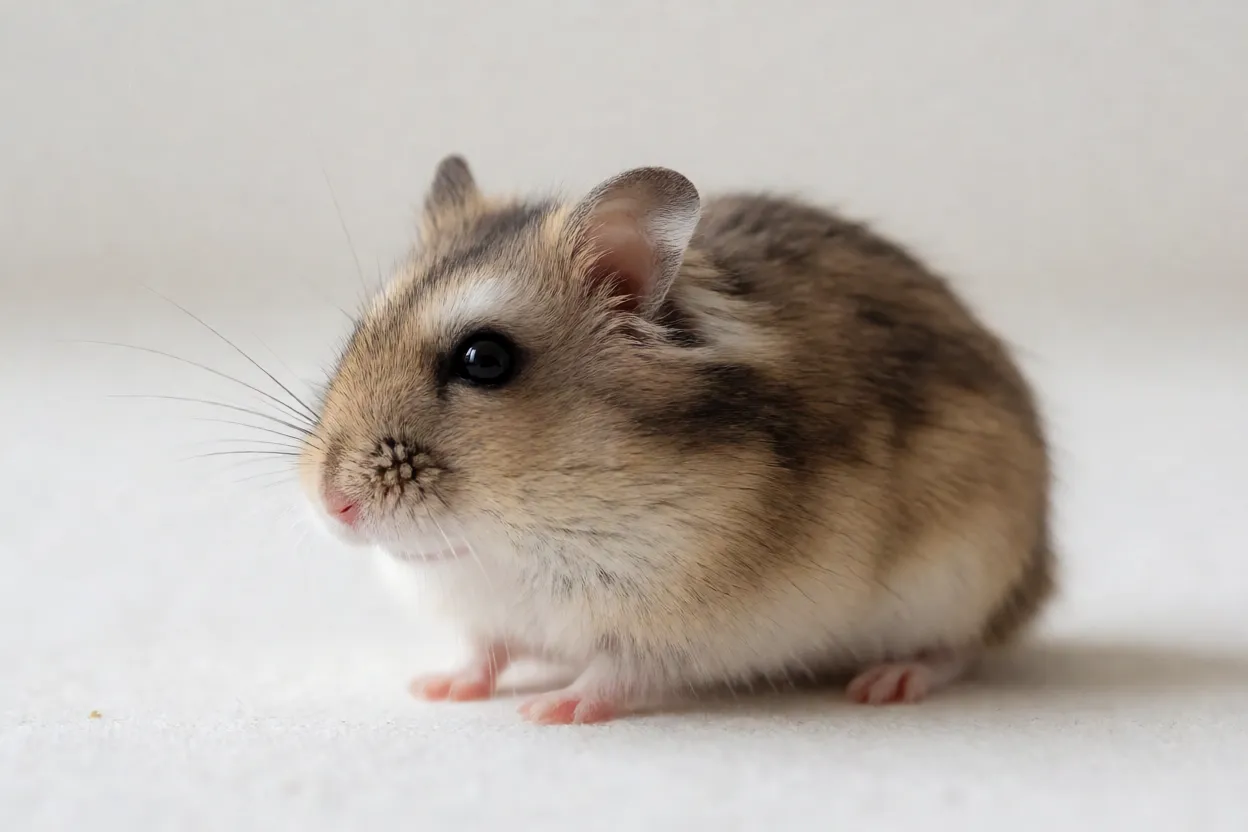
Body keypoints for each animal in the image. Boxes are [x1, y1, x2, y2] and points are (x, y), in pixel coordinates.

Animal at [298, 156, 1054, 724]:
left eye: (485, 359)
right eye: (357, 333)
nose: (332, 505)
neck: (512, 541)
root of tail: (1042, 571)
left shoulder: (682, 627)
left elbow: (616, 669)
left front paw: (548, 710)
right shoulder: (488, 614)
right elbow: (485, 649)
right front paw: (437, 687)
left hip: (968, 572)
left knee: (962, 647)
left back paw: (887, 682)